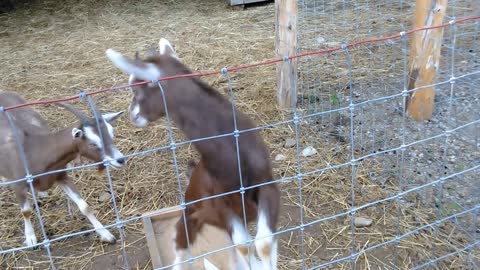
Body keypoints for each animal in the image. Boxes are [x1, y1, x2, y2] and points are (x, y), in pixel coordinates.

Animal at [0, 92, 125, 248]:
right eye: (91, 143)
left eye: (111, 133)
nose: (120, 160)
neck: (33, 148)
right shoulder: (19, 185)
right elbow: (26, 211)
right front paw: (30, 238)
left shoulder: (62, 176)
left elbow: (85, 206)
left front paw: (106, 235)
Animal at [104, 38, 278, 270]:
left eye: (137, 87)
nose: (133, 116)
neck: (234, 156)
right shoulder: (222, 205)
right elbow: (244, 245)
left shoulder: (268, 187)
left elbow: (264, 243)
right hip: (190, 216)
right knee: (181, 246)